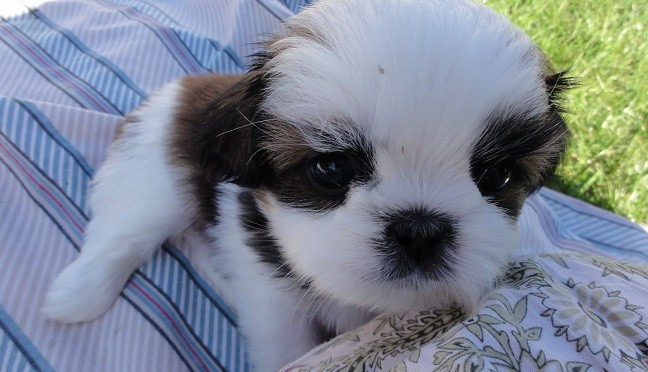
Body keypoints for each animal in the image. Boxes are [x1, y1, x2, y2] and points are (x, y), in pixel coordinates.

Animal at [44, 0, 568, 368]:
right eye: (331, 169)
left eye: (496, 176)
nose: (420, 230)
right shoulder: (273, 302)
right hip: (157, 176)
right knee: (126, 233)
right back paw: (75, 295)